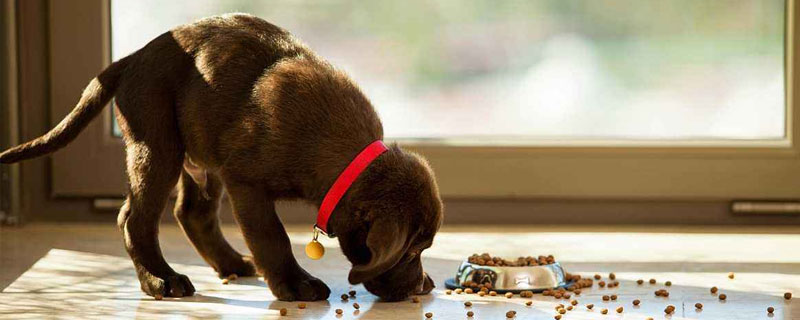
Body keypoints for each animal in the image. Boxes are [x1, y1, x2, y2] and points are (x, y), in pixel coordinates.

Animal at [0, 13, 440, 302]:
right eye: (410, 251)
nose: (422, 287)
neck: (344, 157)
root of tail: (133, 58)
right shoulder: (247, 182)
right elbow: (272, 236)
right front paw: (295, 284)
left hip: (199, 156)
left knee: (191, 212)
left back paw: (230, 263)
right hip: (157, 146)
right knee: (134, 218)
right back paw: (160, 281)